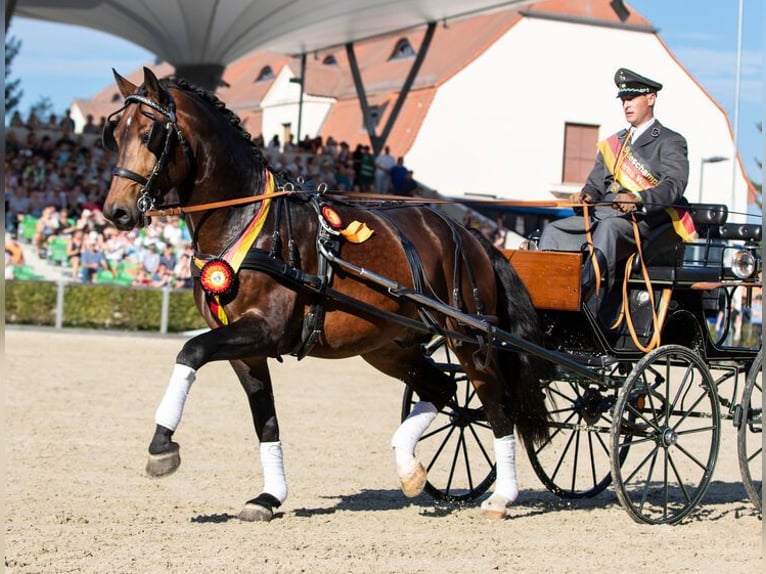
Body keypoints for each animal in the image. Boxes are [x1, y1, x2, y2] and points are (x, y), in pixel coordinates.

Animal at [102, 67, 550, 522]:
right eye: (114, 133)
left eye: (150, 133)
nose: (116, 211)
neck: (248, 221)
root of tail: (470, 233)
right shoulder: (247, 349)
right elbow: (266, 420)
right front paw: (269, 496)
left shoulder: (263, 330)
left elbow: (189, 351)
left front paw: (161, 446)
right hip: (388, 346)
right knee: (442, 391)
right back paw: (409, 468)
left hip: (469, 339)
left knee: (496, 404)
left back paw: (502, 496)